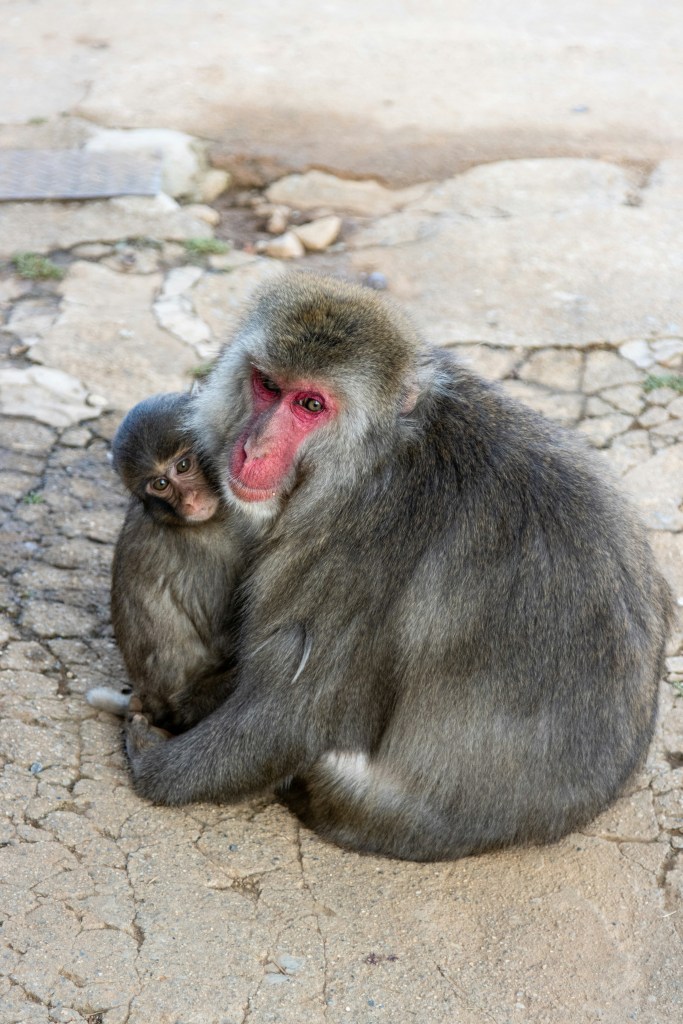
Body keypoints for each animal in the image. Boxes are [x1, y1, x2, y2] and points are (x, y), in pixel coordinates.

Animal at [124, 273, 673, 861]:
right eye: (267, 385)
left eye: (311, 404)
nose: (253, 448)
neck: (378, 455)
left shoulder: (351, 552)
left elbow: (292, 718)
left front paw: (153, 764)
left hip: (372, 812)